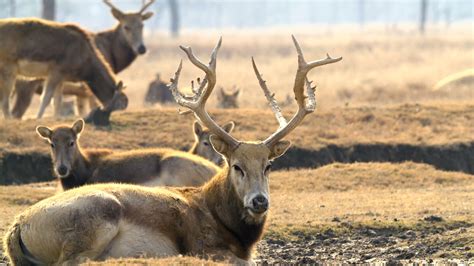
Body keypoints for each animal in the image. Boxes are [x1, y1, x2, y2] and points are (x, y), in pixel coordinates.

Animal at [7, 0, 154, 118]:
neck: (112, 58)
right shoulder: (85, 90)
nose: (141, 48)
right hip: (25, 86)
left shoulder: (79, 93)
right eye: (126, 27)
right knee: (16, 113)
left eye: (142, 25)